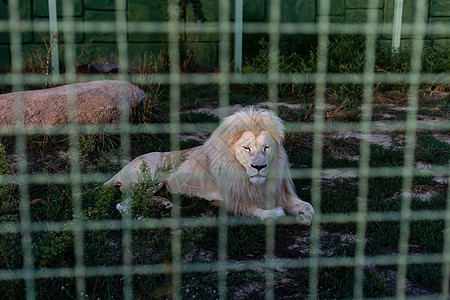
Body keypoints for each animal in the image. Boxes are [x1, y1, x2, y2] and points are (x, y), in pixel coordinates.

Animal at [107, 108, 314, 225]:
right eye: (247, 148)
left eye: (266, 148)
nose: (259, 167)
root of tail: (120, 170)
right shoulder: (232, 200)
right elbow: (264, 213)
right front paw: (279, 212)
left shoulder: (279, 193)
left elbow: (310, 207)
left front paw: (304, 216)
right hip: (151, 177)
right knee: (122, 203)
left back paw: (163, 203)